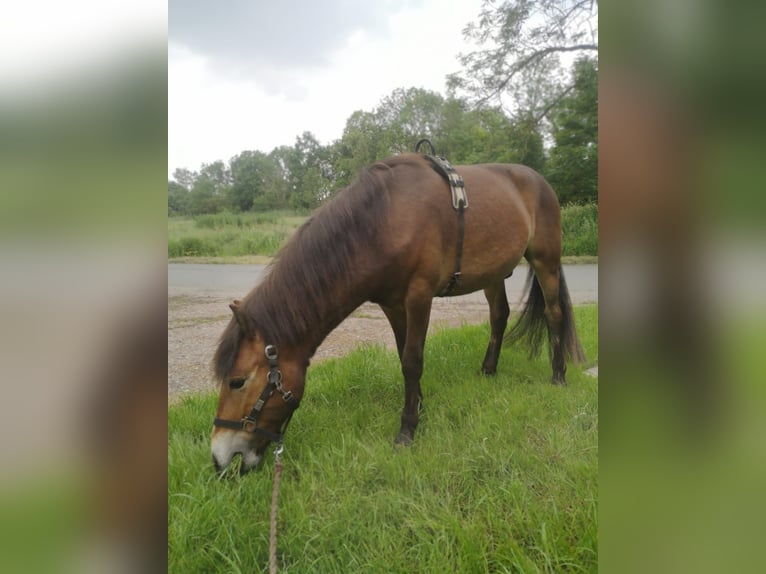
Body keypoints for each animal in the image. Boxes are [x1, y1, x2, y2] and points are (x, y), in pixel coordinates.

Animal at [210, 151, 588, 474]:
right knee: (500, 315)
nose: (219, 458)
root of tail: (539, 181)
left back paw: (558, 375)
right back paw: (488, 370)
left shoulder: (419, 296)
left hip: (545, 261)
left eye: (237, 381)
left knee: (554, 313)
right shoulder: (392, 304)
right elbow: (403, 353)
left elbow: (412, 360)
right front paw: (417, 405)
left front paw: (407, 430)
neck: (383, 222)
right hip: (494, 274)